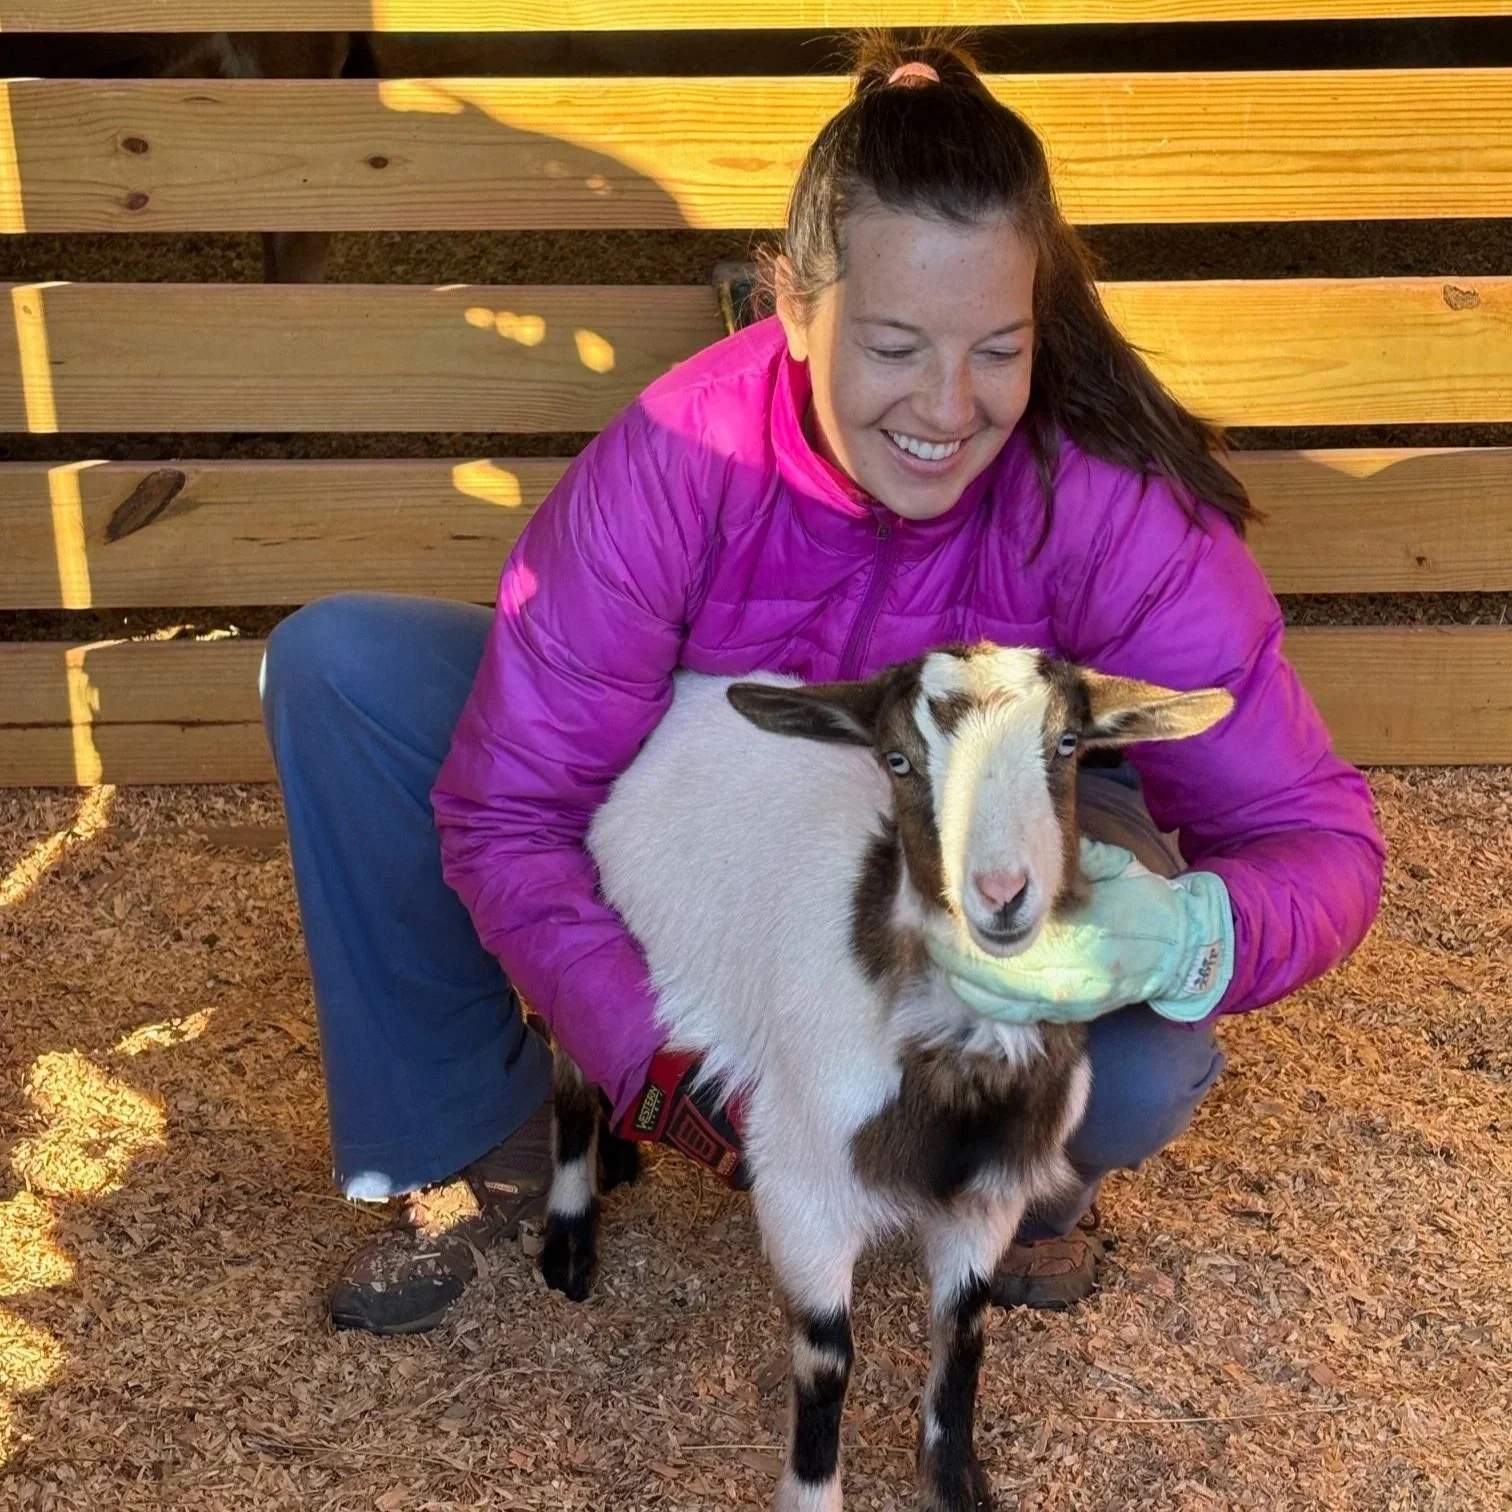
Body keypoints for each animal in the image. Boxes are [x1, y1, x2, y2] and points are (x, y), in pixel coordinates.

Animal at [542, 644, 1231, 1511]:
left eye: (1068, 745)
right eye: (899, 760)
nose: (1001, 895)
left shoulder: (990, 1195)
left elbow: (964, 1332)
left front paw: (954, 1480)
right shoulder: (801, 1187)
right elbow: (826, 1357)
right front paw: (812, 1495)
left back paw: (624, 1154)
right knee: (570, 1058)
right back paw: (569, 1233)